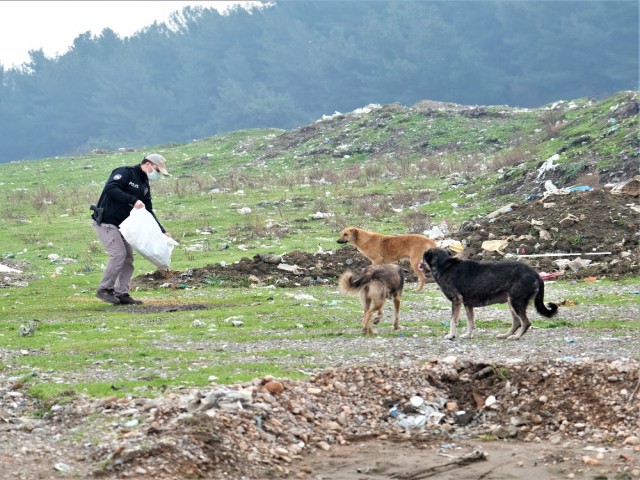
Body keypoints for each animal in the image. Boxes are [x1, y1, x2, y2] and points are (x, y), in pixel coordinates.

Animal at [422, 249, 556, 340]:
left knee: (525, 322)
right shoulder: (467, 304)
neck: (444, 265)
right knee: (517, 322)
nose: (419, 265)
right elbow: (471, 322)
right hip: (511, 303)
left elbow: (453, 321)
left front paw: (451, 335)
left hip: (516, 302)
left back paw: (516, 337)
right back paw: (505, 335)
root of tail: (535, 273)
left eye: (423, 259)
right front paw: (468, 335)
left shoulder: (456, 300)